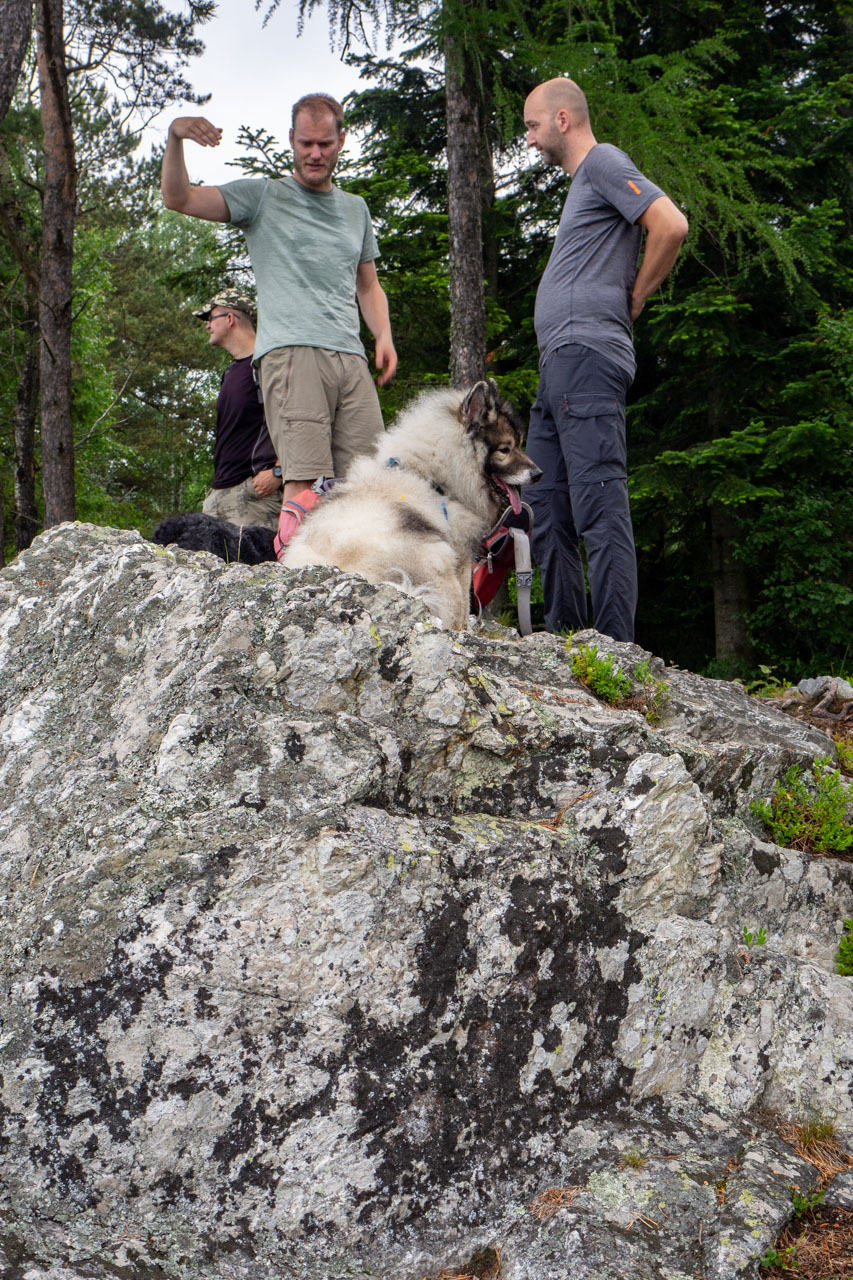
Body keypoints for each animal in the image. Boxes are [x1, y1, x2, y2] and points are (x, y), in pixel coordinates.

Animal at [281, 376, 540, 627]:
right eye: (505, 449)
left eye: (519, 443)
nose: (538, 474)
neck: (433, 476)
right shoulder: (460, 554)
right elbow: (464, 606)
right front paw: (465, 630)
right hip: (434, 557)